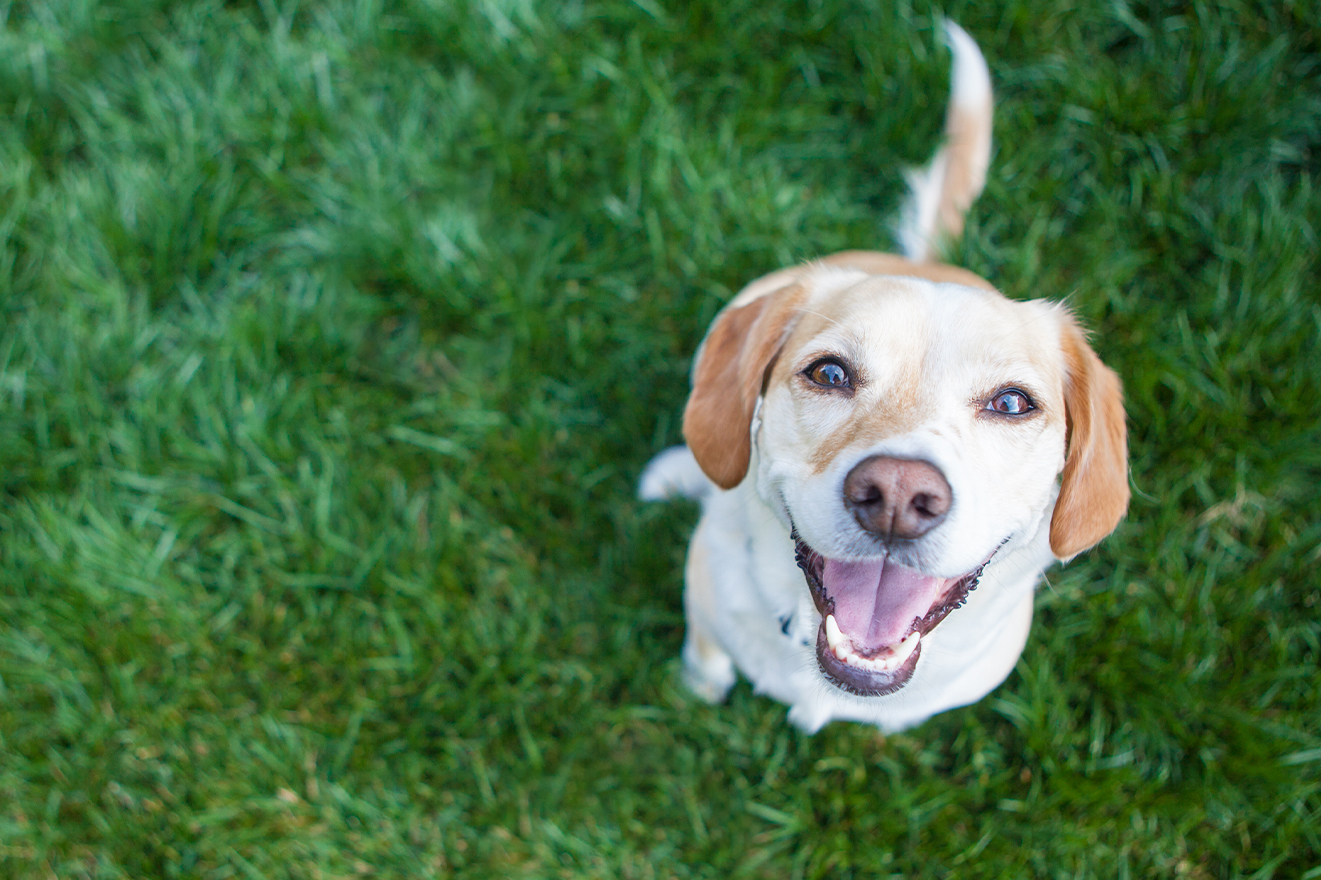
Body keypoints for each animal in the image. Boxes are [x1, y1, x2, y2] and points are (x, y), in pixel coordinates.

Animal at [639, 22, 1125, 734]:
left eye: (1012, 403)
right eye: (829, 372)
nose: (897, 495)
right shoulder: (705, 609)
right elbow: (706, 661)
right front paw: (696, 691)